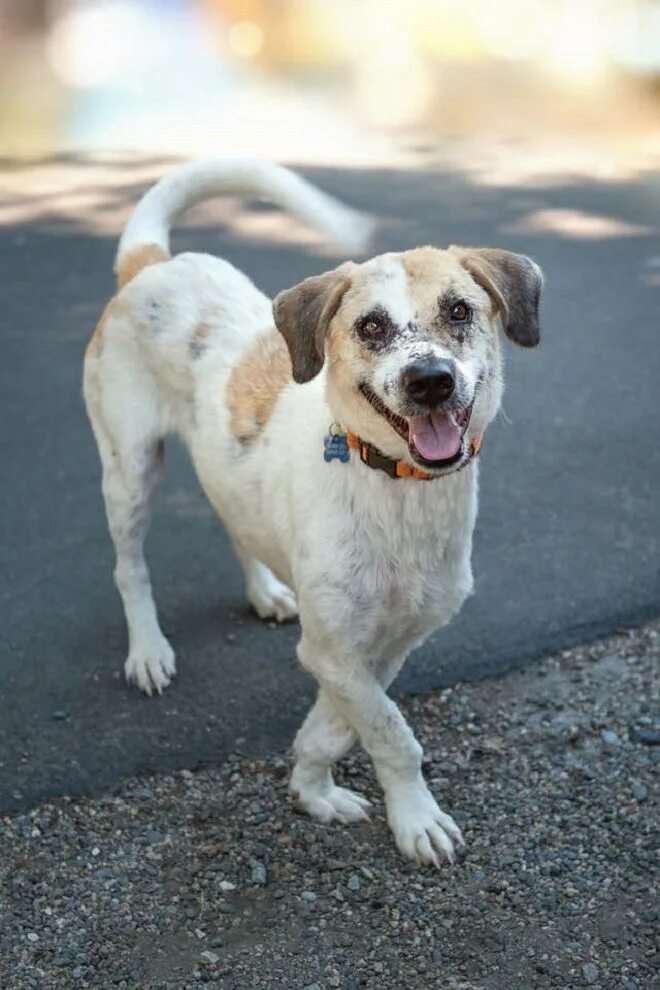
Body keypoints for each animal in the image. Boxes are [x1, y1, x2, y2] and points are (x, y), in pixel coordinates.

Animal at [84, 159, 540, 864]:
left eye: (459, 311)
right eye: (371, 326)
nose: (430, 380)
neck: (398, 493)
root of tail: (151, 264)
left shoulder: (379, 646)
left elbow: (340, 724)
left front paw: (311, 788)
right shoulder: (333, 648)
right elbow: (391, 732)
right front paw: (415, 818)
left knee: (234, 521)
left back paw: (265, 592)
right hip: (129, 467)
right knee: (129, 567)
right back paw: (148, 651)